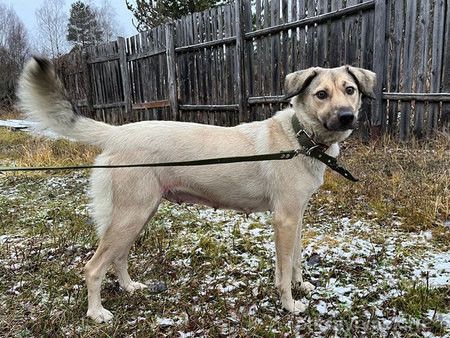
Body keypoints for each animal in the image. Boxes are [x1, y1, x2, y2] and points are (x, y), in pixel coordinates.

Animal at [17, 57, 376, 322]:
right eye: (321, 95)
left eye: (350, 90)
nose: (347, 117)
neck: (302, 138)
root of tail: (117, 134)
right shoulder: (284, 219)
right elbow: (284, 270)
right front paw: (289, 305)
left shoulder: (297, 217)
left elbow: (297, 261)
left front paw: (302, 286)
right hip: (131, 216)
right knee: (93, 267)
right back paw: (96, 313)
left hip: (139, 214)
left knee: (117, 257)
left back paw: (130, 287)